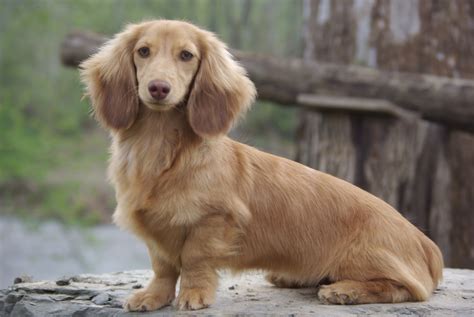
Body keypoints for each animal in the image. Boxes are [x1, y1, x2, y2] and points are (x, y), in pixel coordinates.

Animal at [79, 20, 442, 312]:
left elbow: (194, 259)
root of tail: (424, 241)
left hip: (364, 258)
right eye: (143, 51)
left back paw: (344, 291)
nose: (158, 88)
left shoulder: (213, 220)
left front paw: (194, 295)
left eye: (186, 55)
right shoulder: (158, 231)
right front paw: (153, 297)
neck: (160, 148)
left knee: (409, 288)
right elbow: (164, 267)